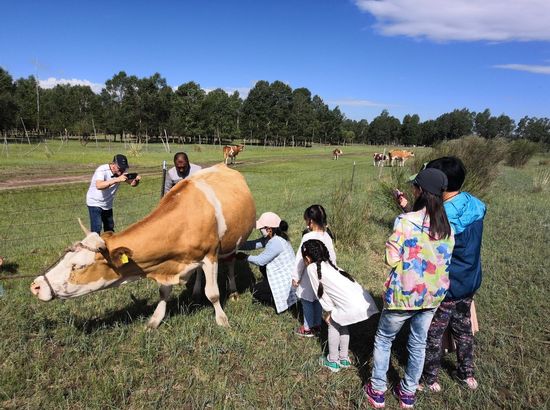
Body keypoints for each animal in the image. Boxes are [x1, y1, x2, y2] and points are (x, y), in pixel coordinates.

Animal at [30, 164, 256, 329]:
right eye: (65, 257)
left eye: (78, 266)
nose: (36, 286)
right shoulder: (169, 263)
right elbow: (164, 294)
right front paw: (154, 320)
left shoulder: (210, 255)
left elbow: (214, 293)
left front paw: (222, 320)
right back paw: (195, 291)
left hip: (232, 244)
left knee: (230, 263)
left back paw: (233, 291)